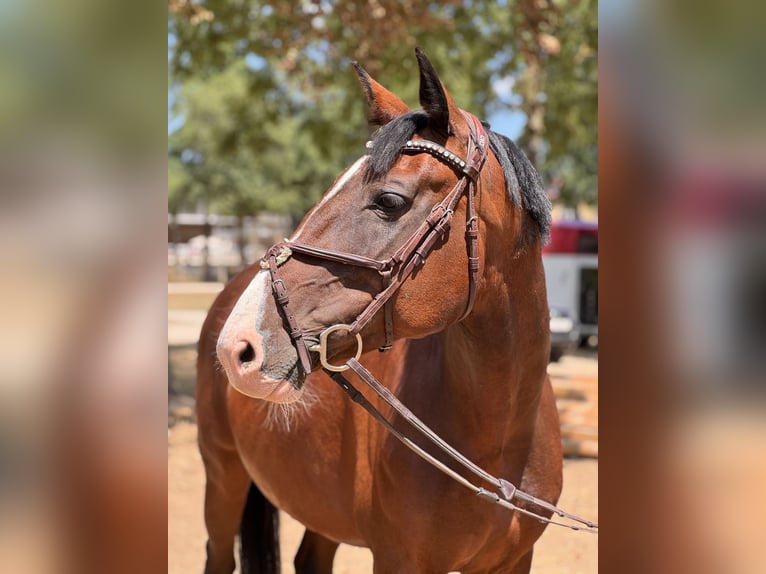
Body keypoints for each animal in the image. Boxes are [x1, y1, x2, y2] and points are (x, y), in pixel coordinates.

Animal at [197, 48, 564, 573]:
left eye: (389, 201)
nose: (237, 346)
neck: (499, 442)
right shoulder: (398, 558)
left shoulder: (514, 562)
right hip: (222, 475)